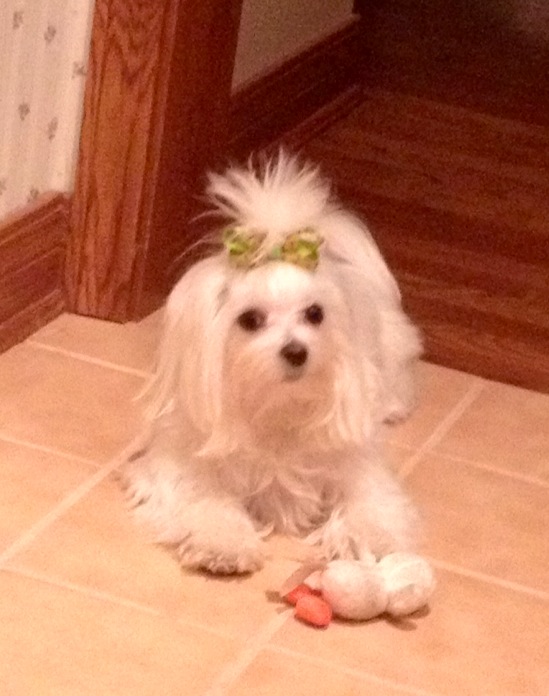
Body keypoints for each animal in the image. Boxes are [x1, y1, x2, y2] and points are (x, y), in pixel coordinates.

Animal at [121, 151, 423, 575]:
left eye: (314, 313)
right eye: (250, 319)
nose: (296, 351)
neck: (277, 406)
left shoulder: (356, 460)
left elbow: (370, 499)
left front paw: (371, 538)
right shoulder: (180, 462)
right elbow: (203, 497)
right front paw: (222, 542)